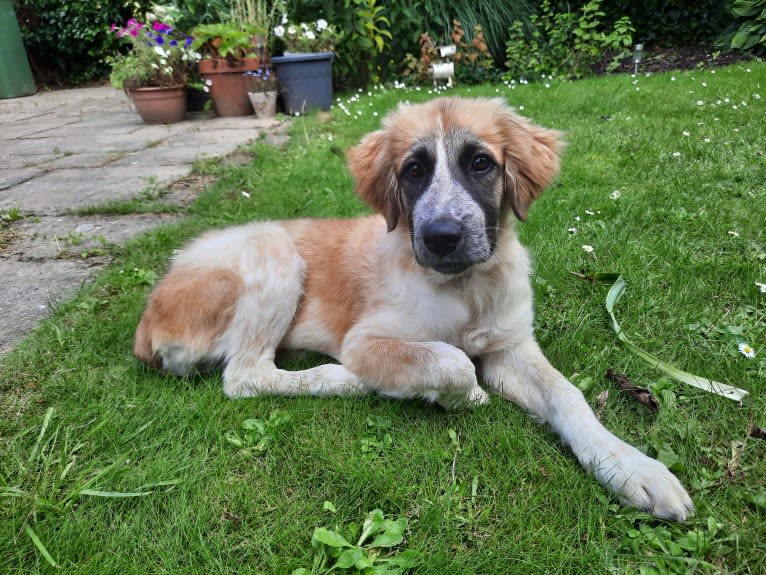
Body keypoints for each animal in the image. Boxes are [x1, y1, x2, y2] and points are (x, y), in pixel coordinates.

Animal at [135, 95, 700, 520]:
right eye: (413, 171)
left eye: (480, 163)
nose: (442, 236)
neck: (463, 287)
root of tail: (147, 321)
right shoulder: (366, 341)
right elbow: (452, 361)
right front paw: (461, 395)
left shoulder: (511, 347)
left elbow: (568, 396)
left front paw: (632, 467)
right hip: (274, 250)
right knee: (246, 375)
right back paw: (345, 380)